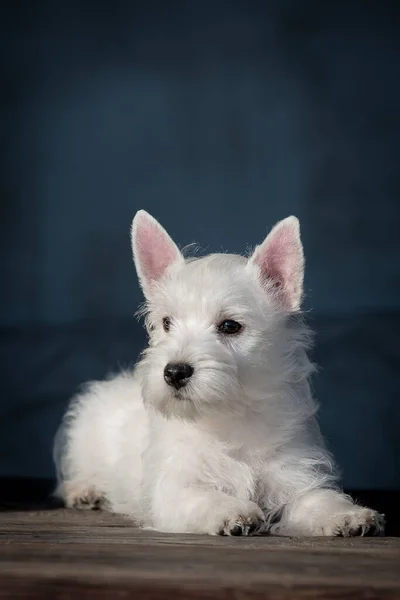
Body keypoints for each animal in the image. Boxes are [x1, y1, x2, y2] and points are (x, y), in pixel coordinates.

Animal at [53, 210, 384, 536]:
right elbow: (203, 497)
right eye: (167, 323)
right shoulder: (173, 488)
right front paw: (233, 512)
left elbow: (318, 499)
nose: (174, 372)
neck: (230, 416)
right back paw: (85, 491)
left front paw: (349, 516)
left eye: (229, 326)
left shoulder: (294, 478)